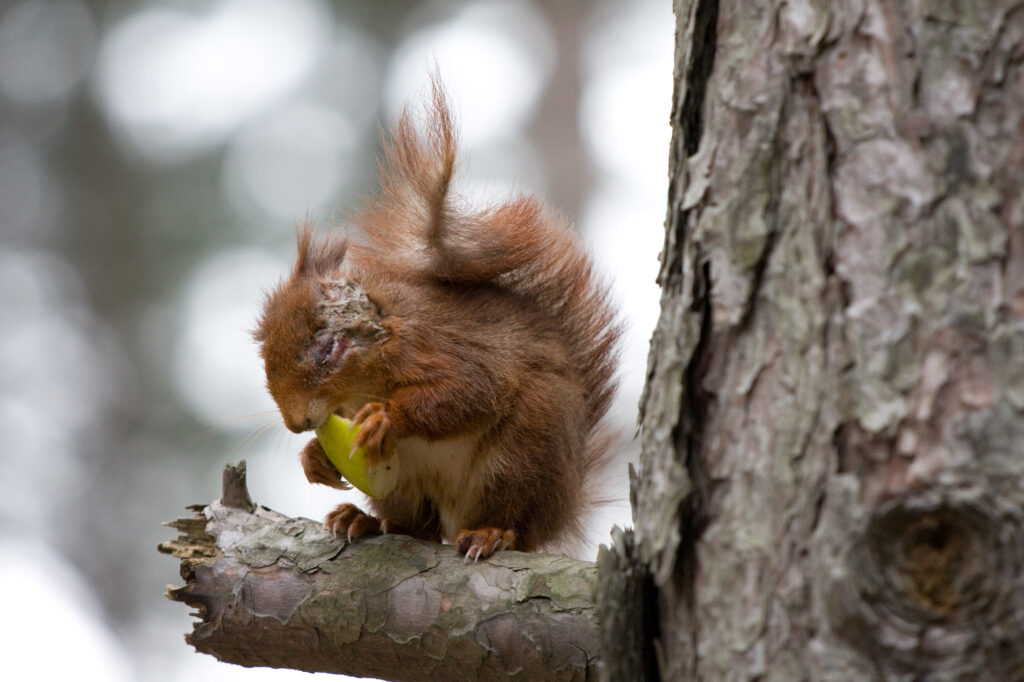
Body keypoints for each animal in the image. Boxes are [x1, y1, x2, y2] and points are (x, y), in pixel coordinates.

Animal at [253, 80, 622, 557]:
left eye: (329, 350)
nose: (296, 423)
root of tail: (564, 508)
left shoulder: (437, 347)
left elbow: (470, 392)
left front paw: (386, 417)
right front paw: (313, 457)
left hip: (523, 450)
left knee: (514, 524)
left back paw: (492, 533)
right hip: (405, 484)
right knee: (416, 527)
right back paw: (363, 520)